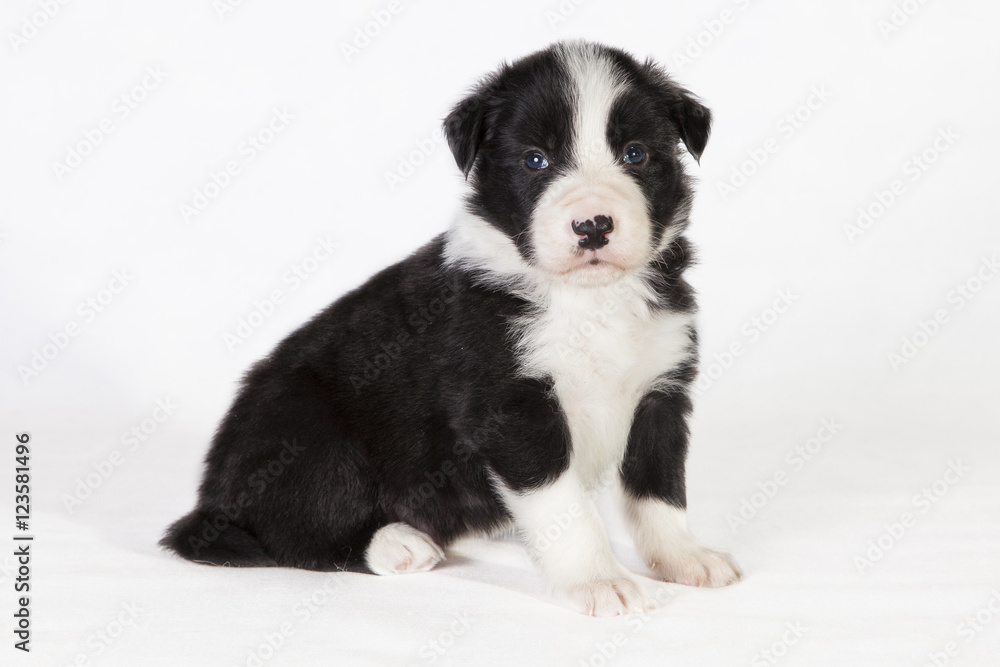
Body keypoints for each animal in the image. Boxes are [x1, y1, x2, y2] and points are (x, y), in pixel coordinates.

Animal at [164, 40, 740, 616]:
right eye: (535, 160)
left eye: (635, 154)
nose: (593, 226)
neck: (587, 300)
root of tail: (211, 497)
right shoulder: (513, 407)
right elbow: (566, 507)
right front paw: (599, 580)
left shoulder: (660, 389)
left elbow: (659, 491)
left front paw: (685, 558)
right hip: (306, 433)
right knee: (289, 534)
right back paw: (397, 543)